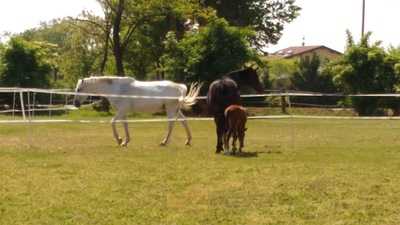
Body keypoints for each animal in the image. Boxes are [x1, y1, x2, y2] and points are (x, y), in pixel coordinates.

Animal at [73, 76, 202, 147]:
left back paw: (164, 142)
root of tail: (179, 87)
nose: (75, 103)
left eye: (79, 89)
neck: (117, 89)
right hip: (175, 110)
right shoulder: (123, 112)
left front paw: (119, 140)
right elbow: (125, 125)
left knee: (171, 124)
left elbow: (112, 122)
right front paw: (125, 141)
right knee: (184, 121)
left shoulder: (121, 111)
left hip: (170, 110)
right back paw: (188, 141)